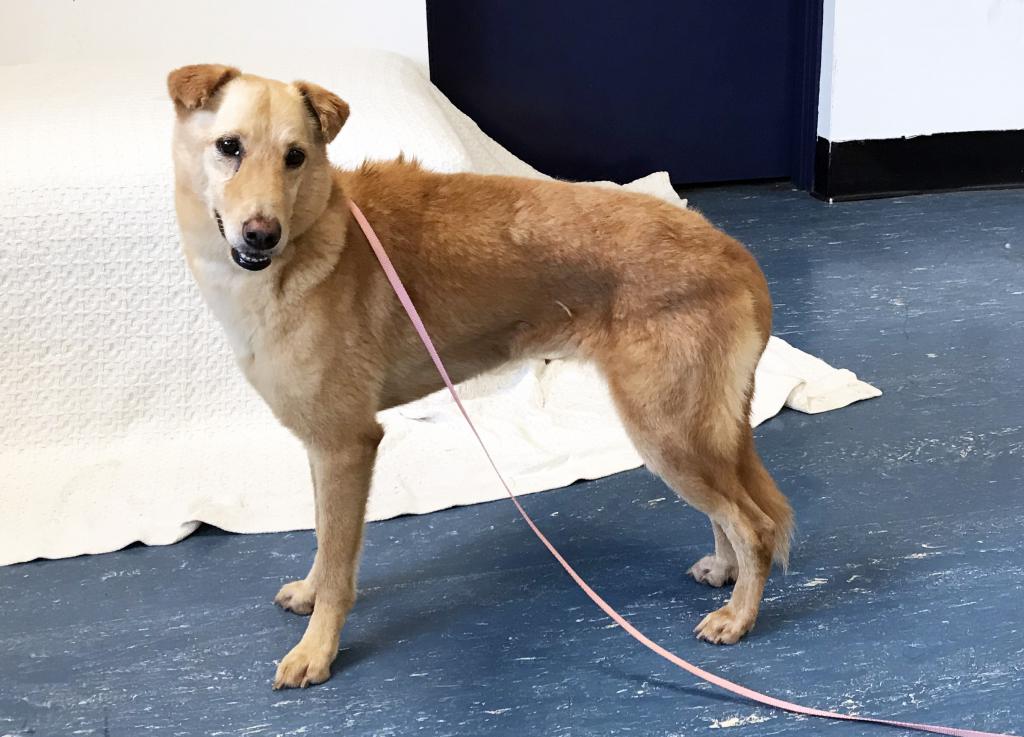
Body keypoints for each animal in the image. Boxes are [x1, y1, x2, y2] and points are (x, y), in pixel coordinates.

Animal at [167, 64, 794, 691]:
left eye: (295, 156)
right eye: (230, 147)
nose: (261, 234)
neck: (320, 234)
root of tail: (735, 252)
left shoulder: (347, 445)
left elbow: (341, 564)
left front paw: (317, 649)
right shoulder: (321, 446)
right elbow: (324, 537)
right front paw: (309, 592)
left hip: (667, 433)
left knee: (755, 526)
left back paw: (739, 615)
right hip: (695, 434)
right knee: (729, 511)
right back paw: (725, 571)